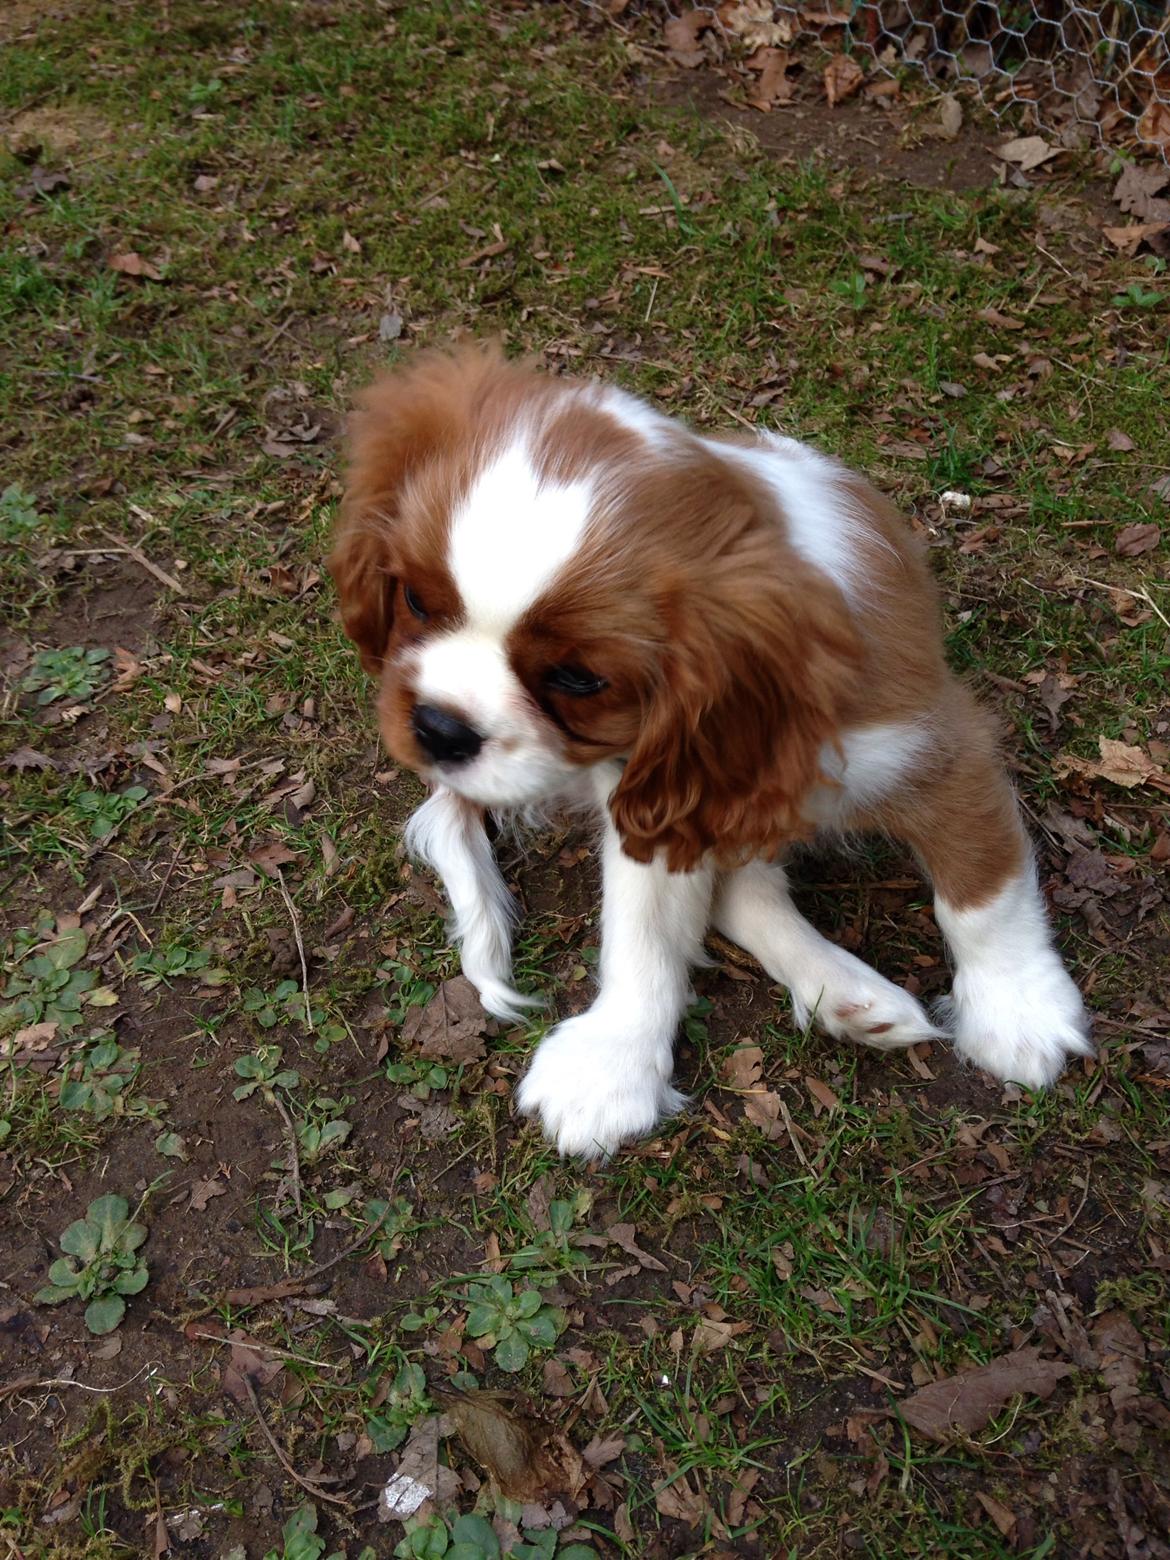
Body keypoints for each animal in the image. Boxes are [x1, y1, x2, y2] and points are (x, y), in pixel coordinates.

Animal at [327, 351, 1092, 1160]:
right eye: (414, 600)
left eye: (578, 678)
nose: (438, 729)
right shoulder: (663, 794)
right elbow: (643, 930)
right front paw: (613, 1063)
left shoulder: (936, 752)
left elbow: (983, 896)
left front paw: (1019, 1011)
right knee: (741, 895)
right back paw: (845, 990)